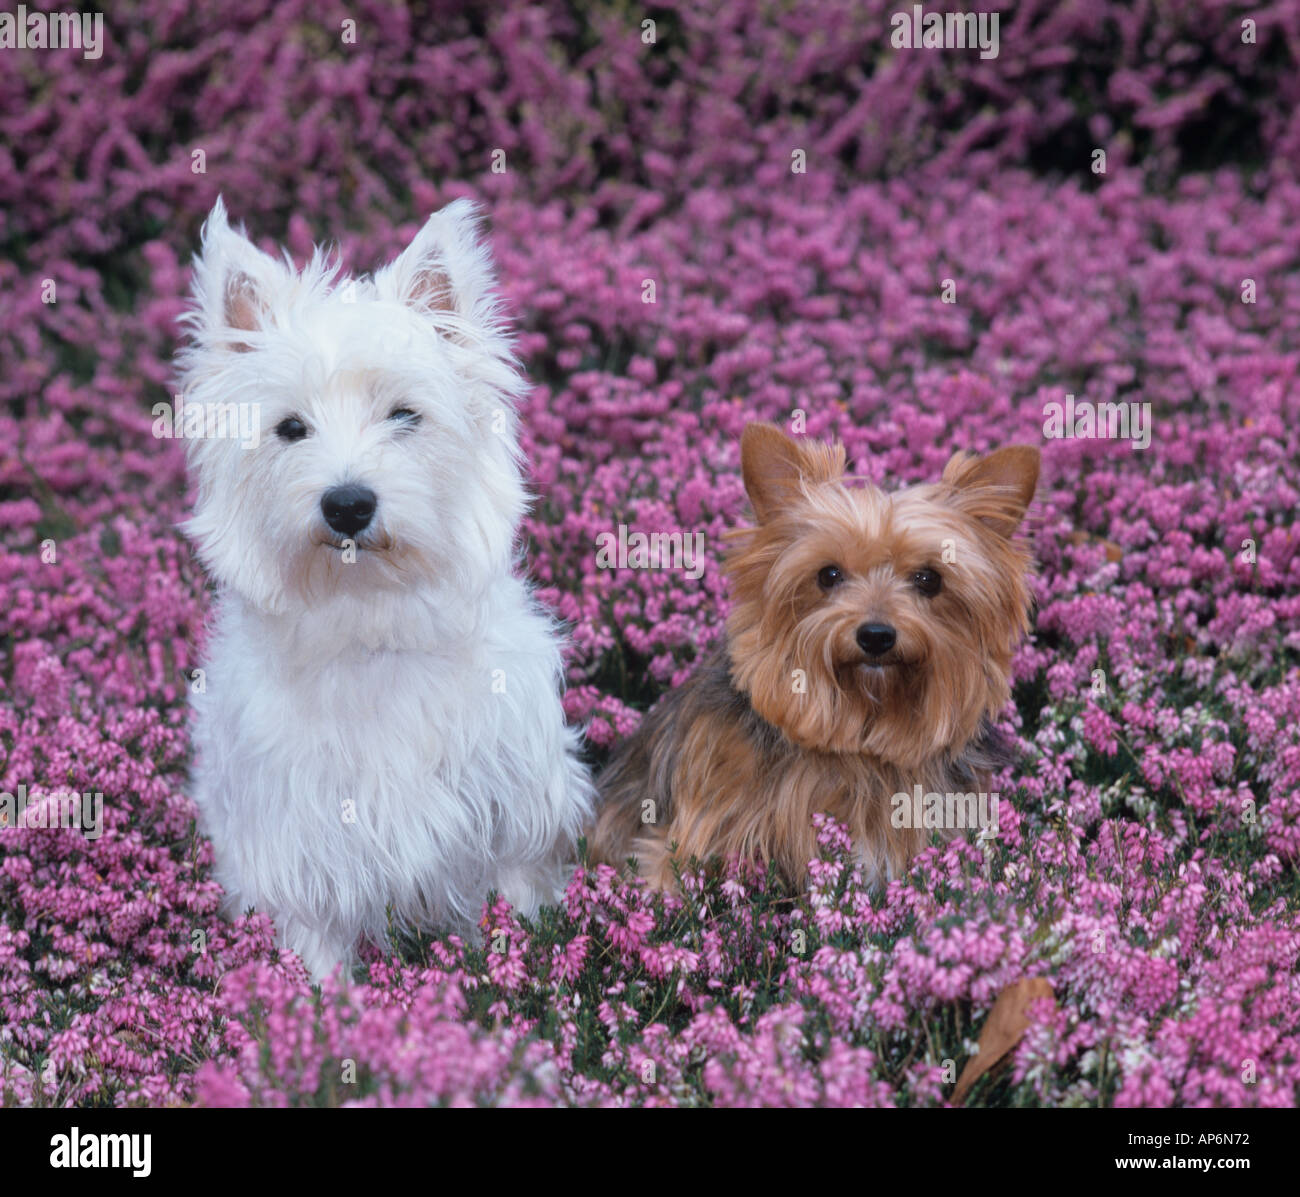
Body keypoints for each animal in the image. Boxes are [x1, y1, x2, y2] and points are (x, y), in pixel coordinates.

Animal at [175, 198, 592, 982]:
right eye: (290, 427)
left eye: (405, 414)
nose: (347, 504)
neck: (371, 618)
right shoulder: (299, 849)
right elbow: (315, 949)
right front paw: (317, 1003)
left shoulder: (515, 810)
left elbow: (522, 894)